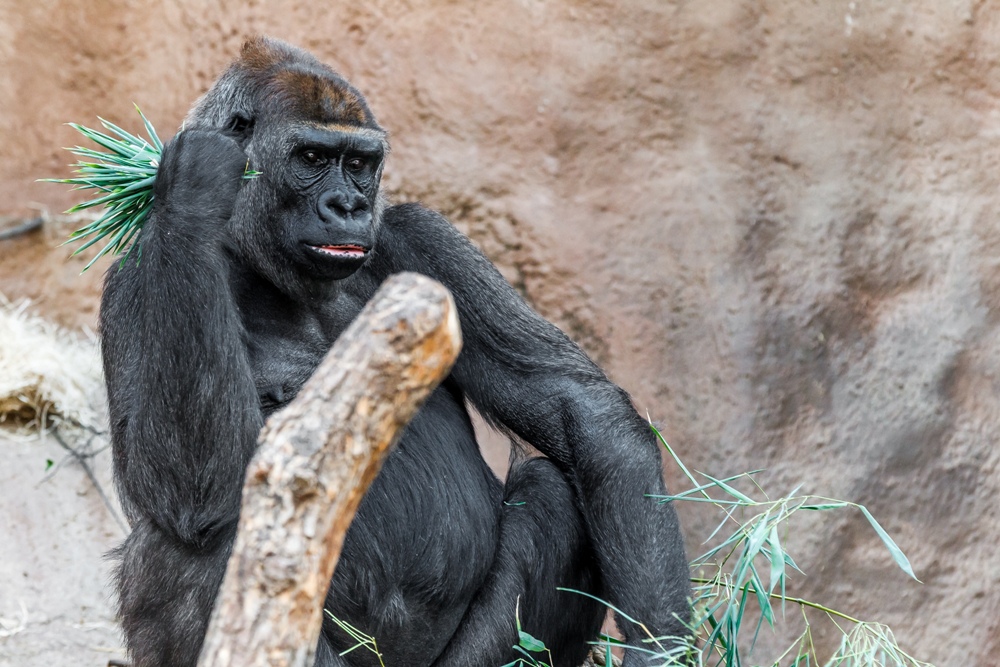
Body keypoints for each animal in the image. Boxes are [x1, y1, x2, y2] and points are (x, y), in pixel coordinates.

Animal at [101, 37, 692, 667]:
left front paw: (661, 647)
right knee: (201, 537)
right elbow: (188, 487)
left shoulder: (417, 236)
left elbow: (578, 407)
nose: (348, 206)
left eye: (359, 164)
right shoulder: (135, 274)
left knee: (554, 490)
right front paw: (192, 185)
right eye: (311, 157)